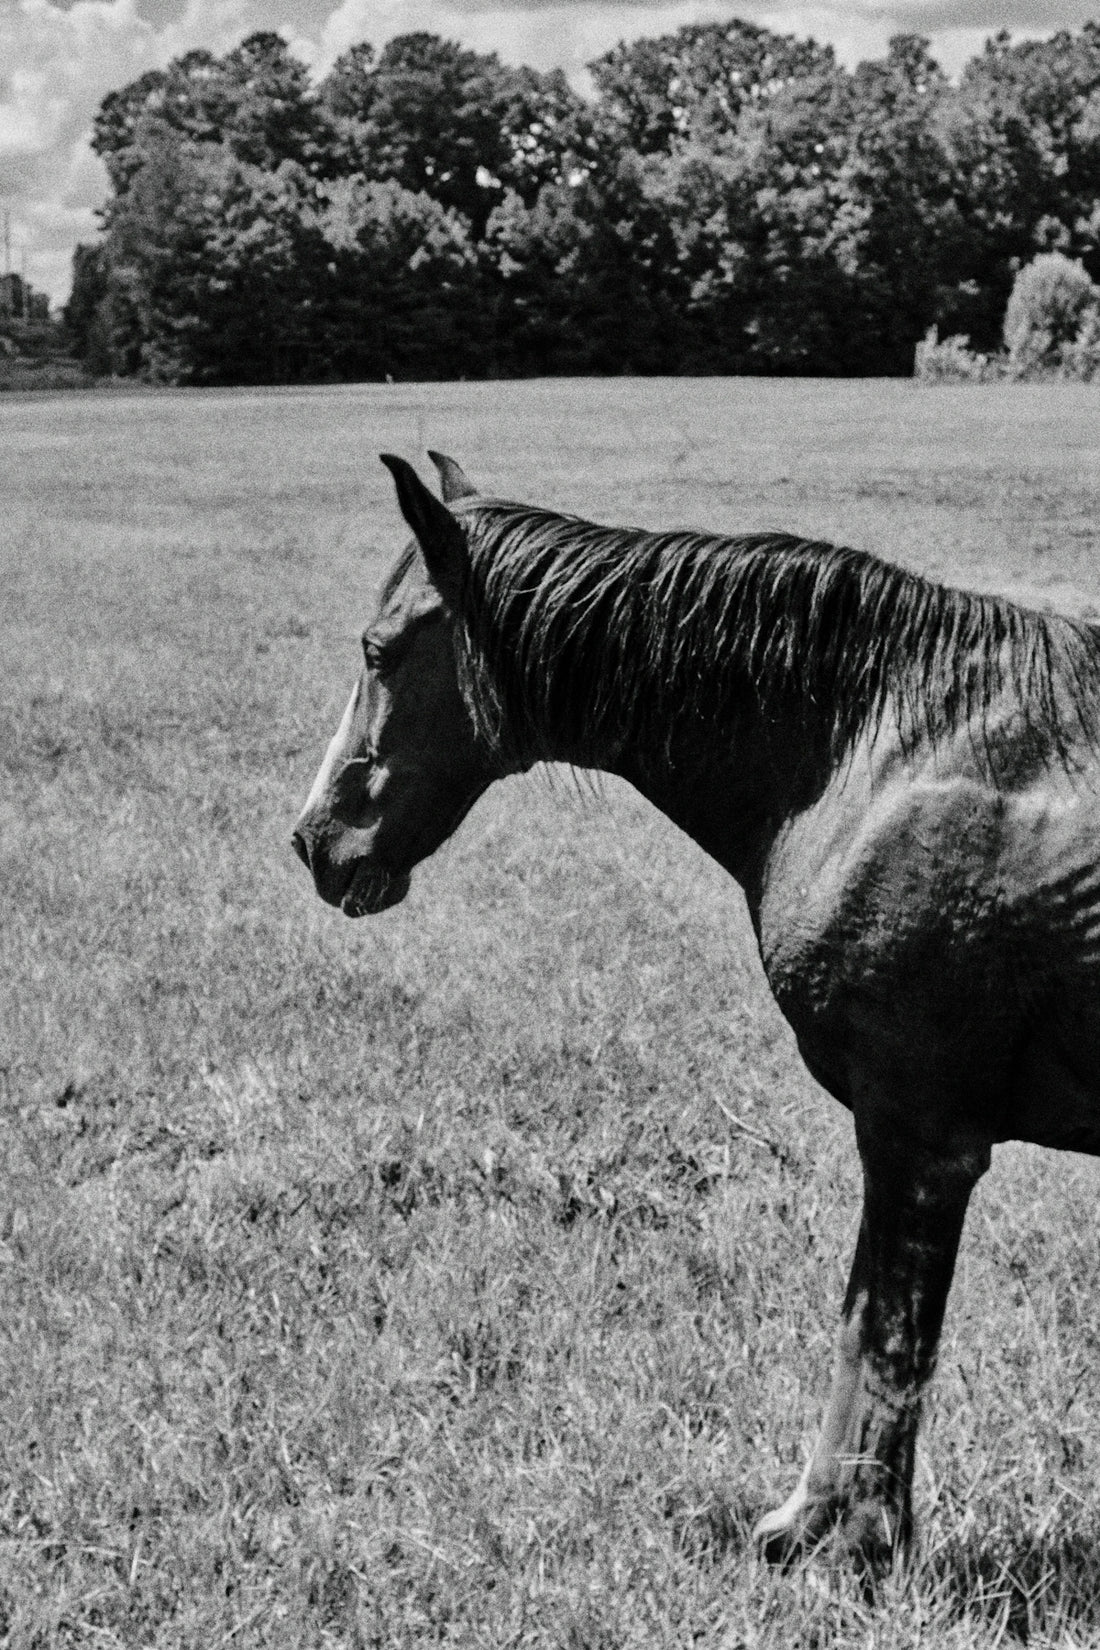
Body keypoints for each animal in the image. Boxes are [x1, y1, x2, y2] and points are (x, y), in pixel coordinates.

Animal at [293, 451, 1100, 1573]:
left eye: (377, 650)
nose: (313, 840)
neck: (887, 744)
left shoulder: (918, 1137)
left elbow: (881, 1336)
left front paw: (838, 1536)